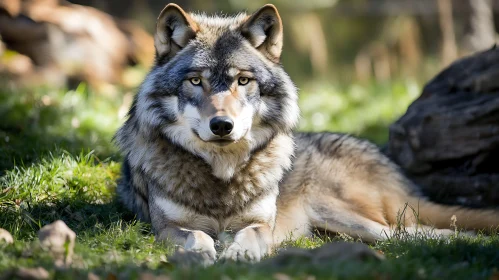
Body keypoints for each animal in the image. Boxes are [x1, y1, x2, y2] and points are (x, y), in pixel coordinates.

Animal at [115, 2, 499, 264]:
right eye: (196, 81)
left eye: (243, 81)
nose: (222, 126)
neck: (222, 176)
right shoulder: (166, 227)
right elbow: (196, 236)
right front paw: (203, 254)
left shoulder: (261, 224)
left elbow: (251, 235)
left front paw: (238, 254)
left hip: (349, 217)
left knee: (416, 232)